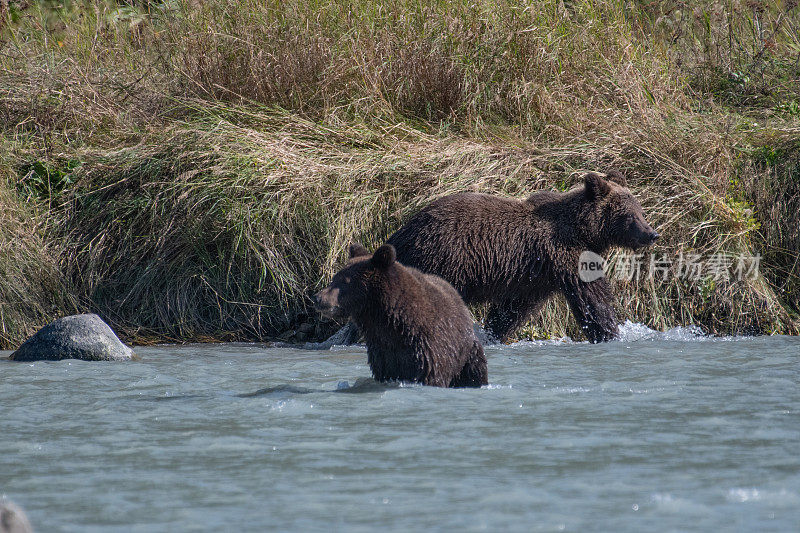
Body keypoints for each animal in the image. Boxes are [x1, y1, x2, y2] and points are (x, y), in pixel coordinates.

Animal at [312, 242, 488, 386]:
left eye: (346, 281)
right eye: (335, 278)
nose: (317, 298)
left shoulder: (427, 350)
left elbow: (429, 374)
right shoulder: (384, 355)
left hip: (467, 352)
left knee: (474, 372)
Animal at [386, 172, 656, 342]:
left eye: (641, 211)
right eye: (630, 215)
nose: (652, 234)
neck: (583, 230)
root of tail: (402, 231)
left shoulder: (533, 277)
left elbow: (512, 310)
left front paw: (493, 333)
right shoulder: (566, 256)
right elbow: (592, 297)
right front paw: (610, 332)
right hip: (442, 259)